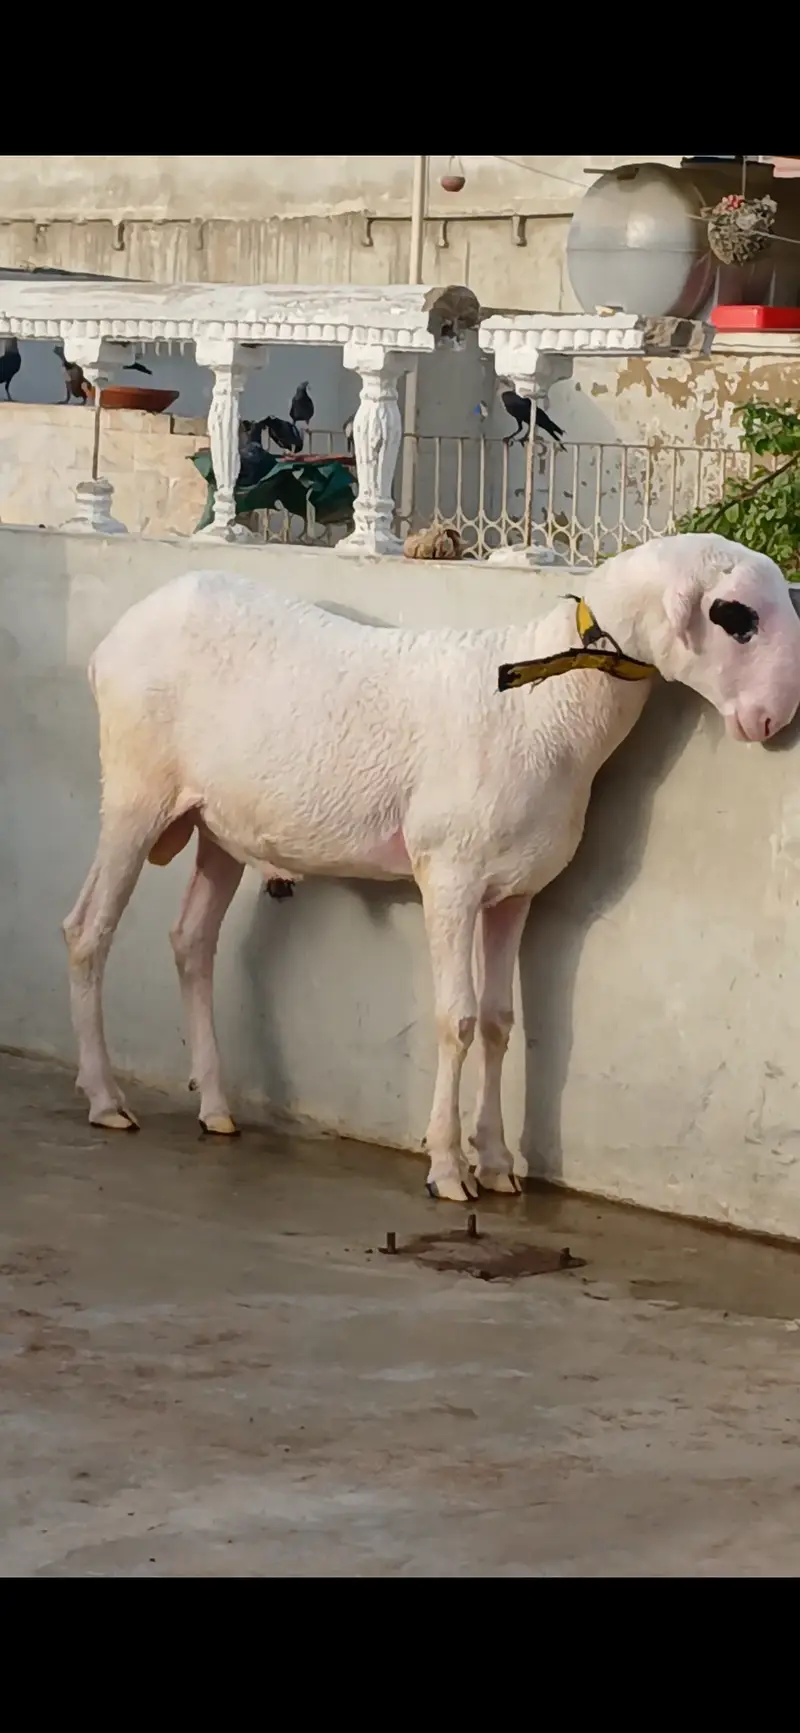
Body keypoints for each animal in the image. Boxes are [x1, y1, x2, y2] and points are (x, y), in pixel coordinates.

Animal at [63, 534, 800, 1204]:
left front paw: (498, 1165)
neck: (542, 704)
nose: (775, 716)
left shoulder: (516, 890)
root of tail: (117, 636)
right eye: (735, 616)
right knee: (88, 930)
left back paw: (216, 1107)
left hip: (220, 823)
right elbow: (457, 1019)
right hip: (134, 789)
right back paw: (105, 1097)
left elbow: (501, 1022)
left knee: (192, 941)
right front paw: (448, 1168)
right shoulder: (449, 873)